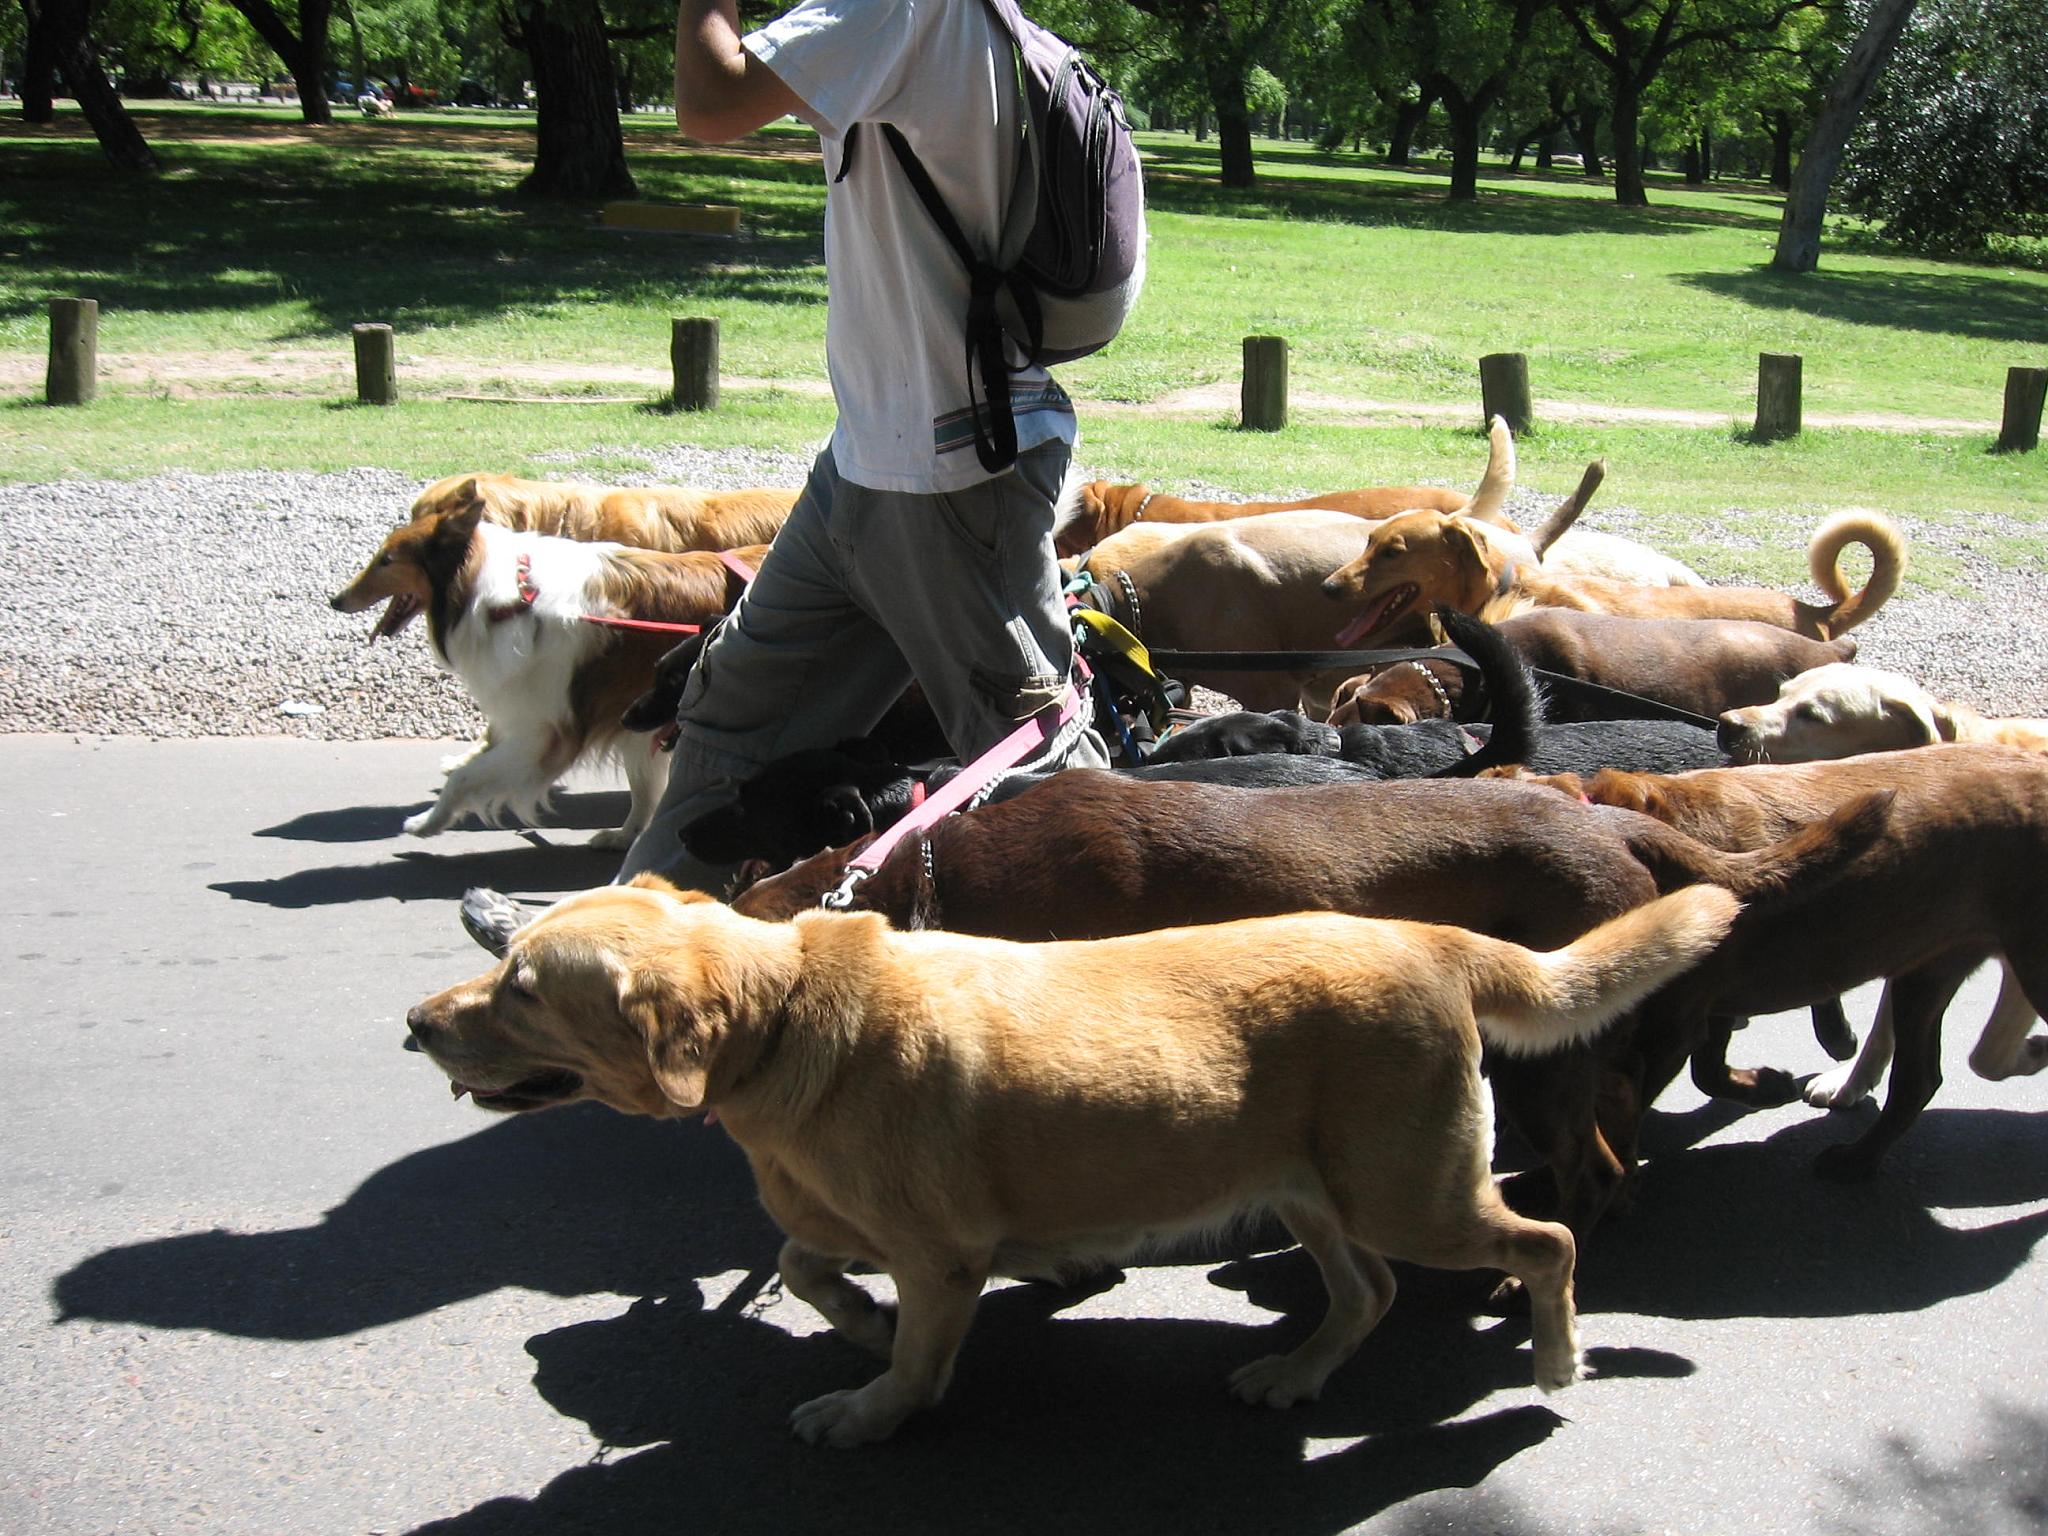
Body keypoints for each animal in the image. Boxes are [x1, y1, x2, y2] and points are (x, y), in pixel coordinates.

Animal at [333, 501, 761, 843]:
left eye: (386, 560)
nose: (335, 600)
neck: (512, 602)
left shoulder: (546, 732)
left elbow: (466, 778)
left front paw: (426, 823)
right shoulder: (627, 721)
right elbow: (642, 785)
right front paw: (626, 835)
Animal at [403, 876, 1744, 1441]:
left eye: (522, 991)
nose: (414, 1023)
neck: (782, 1017)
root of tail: (1430, 938)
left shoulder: (939, 1259)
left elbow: (910, 1358)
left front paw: (872, 1405)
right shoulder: (863, 1227)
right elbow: (800, 1262)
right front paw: (859, 1324)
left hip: (1408, 1194)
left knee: (1547, 1240)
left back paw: (1556, 1359)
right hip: (1314, 1195)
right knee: (1364, 1295)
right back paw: (1297, 1373)